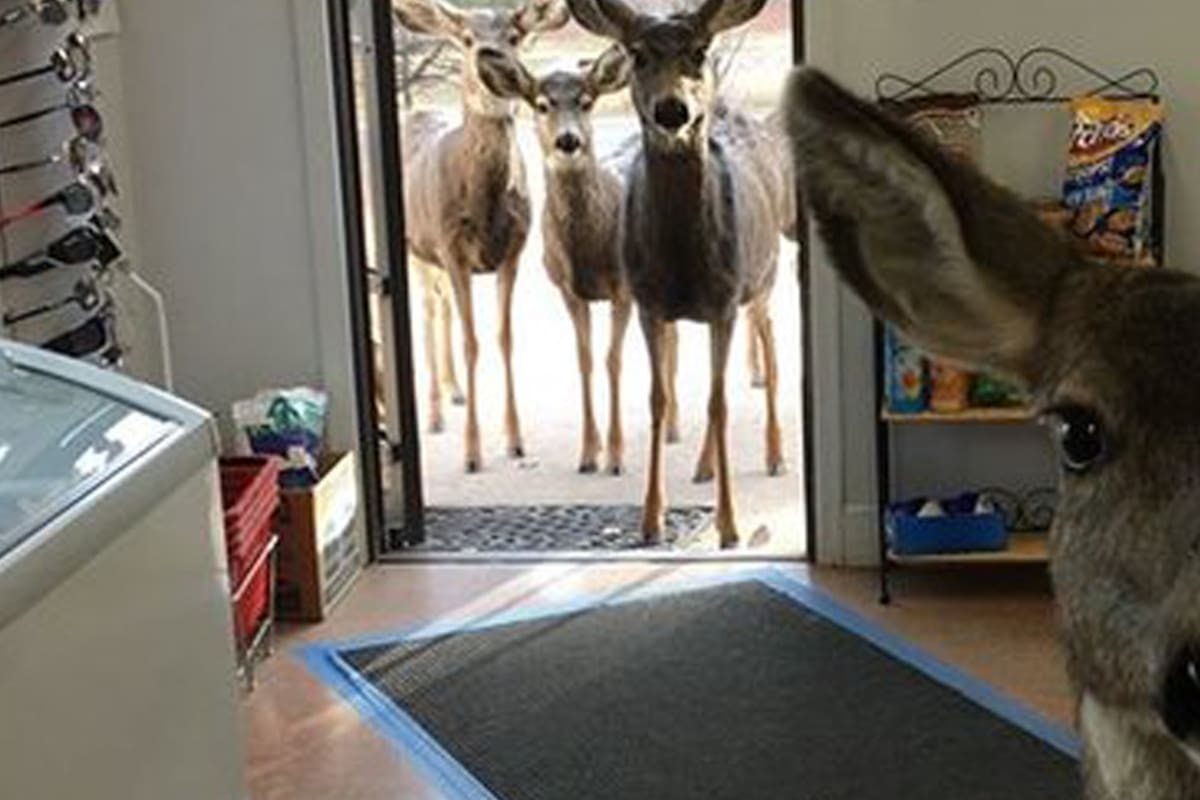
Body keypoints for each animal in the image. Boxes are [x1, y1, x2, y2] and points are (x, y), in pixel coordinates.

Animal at [394, 0, 570, 472]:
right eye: (468, 38)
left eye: (514, 35)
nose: (491, 57)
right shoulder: (452, 249)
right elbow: (471, 342)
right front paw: (472, 453)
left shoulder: (514, 252)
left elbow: (503, 339)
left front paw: (515, 441)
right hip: (416, 249)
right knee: (428, 312)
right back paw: (435, 413)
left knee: (440, 308)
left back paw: (454, 391)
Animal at [566, 0, 787, 549]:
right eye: (638, 54)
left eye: (699, 51)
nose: (673, 110)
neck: (685, 260)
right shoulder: (648, 301)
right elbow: (660, 399)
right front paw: (651, 520)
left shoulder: (725, 299)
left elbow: (719, 403)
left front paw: (730, 525)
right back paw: (704, 467)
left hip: (764, 276)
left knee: (770, 351)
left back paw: (775, 455)